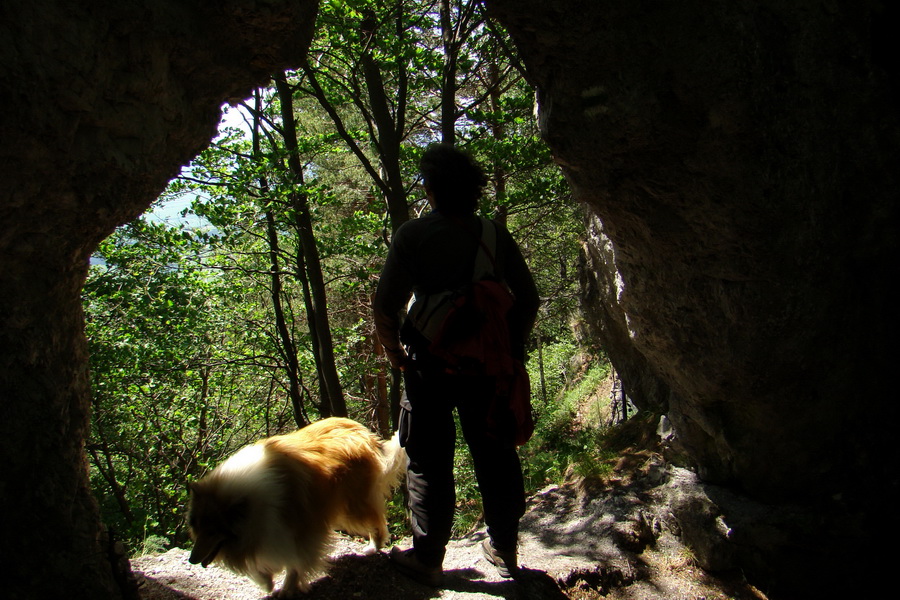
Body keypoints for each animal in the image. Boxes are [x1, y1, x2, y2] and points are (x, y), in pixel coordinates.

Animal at [188, 418, 406, 596]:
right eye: (197, 526)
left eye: (213, 530)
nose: (192, 560)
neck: (252, 502)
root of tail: (364, 433)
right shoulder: (268, 533)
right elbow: (260, 567)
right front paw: (267, 582)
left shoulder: (300, 531)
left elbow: (295, 562)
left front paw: (287, 588)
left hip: (352, 507)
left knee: (377, 521)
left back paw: (373, 546)